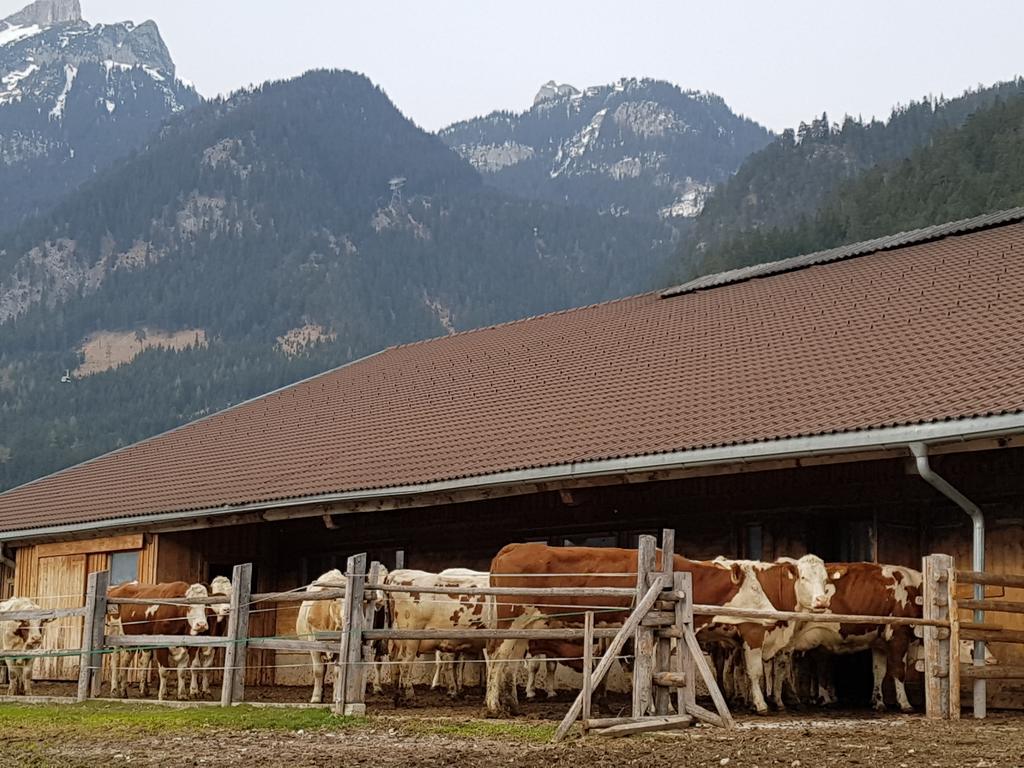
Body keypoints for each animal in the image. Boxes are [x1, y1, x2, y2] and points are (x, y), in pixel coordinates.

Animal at [485, 544, 831, 720]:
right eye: (754, 587)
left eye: (826, 579)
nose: (772, 613)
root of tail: (514, 547)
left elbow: (658, 670)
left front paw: (660, 707)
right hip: (511, 620)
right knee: (495, 656)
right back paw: (493, 707)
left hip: (525, 627)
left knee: (508, 662)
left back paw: (511, 705)